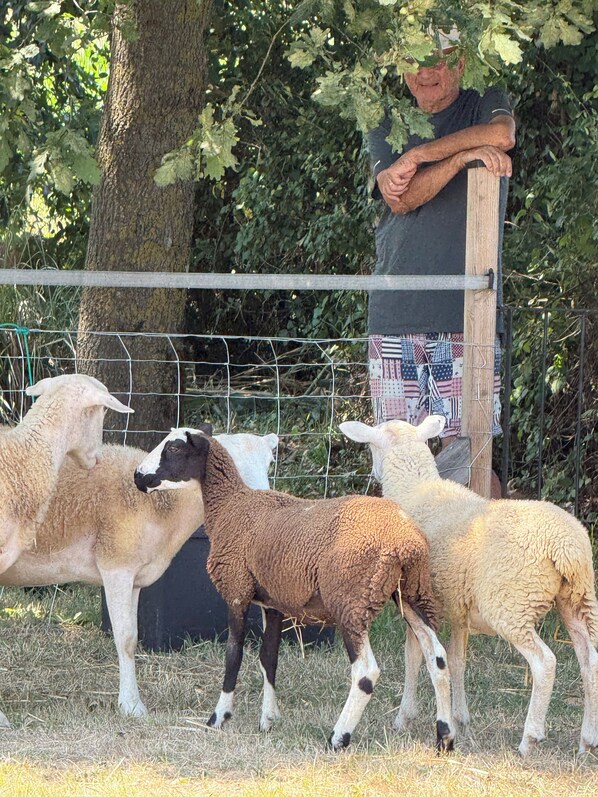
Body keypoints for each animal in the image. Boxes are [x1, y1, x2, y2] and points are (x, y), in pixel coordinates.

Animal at [0, 428, 278, 723]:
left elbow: (133, 637)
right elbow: (125, 639)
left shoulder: (134, 578)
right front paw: (132, 705)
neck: (161, 504)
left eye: (269, 463)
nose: (261, 503)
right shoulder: (116, 567)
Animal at [133, 425, 455, 752]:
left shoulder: (236, 589)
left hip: (350, 600)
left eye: (174, 448)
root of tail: (405, 541)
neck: (230, 505)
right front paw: (267, 720)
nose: (137, 476)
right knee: (438, 659)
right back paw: (445, 736)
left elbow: (233, 655)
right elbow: (268, 659)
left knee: (366, 672)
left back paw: (338, 737)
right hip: (413, 593)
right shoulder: (273, 601)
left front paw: (218, 717)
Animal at [340, 415, 598, 756]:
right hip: (578, 598)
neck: (417, 489)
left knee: (545, 663)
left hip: (512, 605)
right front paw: (460, 717)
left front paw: (405, 717)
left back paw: (529, 739)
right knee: (590, 661)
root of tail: (566, 547)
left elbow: (413, 657)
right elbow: (457, 661)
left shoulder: (413, 600)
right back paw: (587, 741)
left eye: (371, 447)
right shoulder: (458, 610)